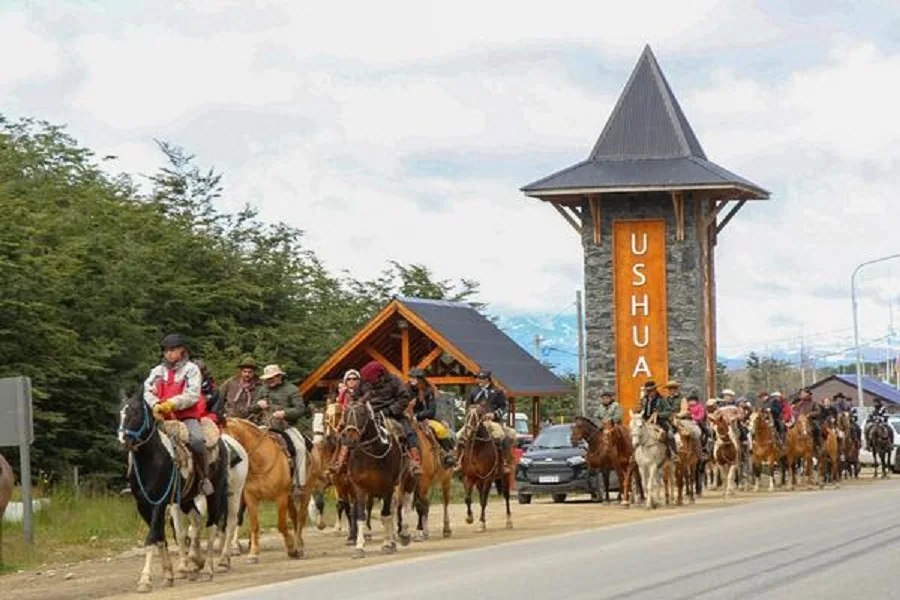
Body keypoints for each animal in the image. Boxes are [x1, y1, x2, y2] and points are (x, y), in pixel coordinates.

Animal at [118, 390, 230, 592]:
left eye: (136, 412)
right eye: (120, 413)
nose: (123, 440)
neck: (152, 459)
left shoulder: (159, 503)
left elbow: (151, 538)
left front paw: (145, 579)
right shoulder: (143, 506)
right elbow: (160, 537)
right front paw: (168, 574)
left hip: (214, 494)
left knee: (212, 525)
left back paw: (208, 568)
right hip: (186, 499)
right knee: (196, 522)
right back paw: (195, 562)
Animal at [221, 418, 302, 564]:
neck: (261, 462)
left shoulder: (281, 497)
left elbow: (281, 524)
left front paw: (291, 548)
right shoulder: (250, 497)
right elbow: (254, 525)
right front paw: (253, 553)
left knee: (299, 517)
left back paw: (300, 546)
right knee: (294, 516)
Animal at [342, 398, 414, 556]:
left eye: (362, 413)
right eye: (345, 414)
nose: (350, 440)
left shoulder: (388, 487)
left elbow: (386, 515)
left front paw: (386, 545)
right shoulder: (360, 488)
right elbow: (361, 516)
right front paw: (359, 547)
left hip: (408, 479)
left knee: (404, 503)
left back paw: (403, 535)